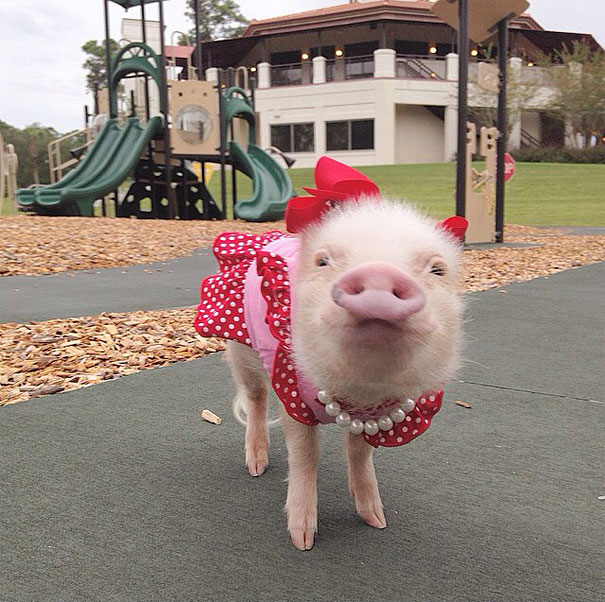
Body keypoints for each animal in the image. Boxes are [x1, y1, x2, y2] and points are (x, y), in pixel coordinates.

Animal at [195, 156, 468, 548]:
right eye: (323, 261)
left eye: (437, 269)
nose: (379, 273)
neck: (359, 392)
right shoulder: (292, 392)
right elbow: (305, 455)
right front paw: (303, 539)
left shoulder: (381, 417)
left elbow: (360, 452)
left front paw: (376, 521)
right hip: (241, 346)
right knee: (255, 397)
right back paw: (256, 466)